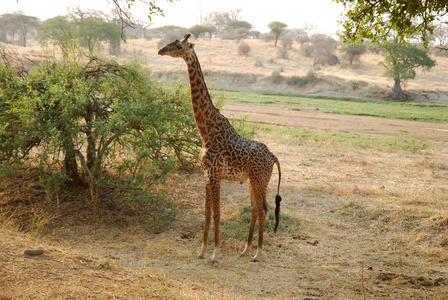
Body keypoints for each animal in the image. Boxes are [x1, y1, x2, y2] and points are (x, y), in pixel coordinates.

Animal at [159, 33, 282, 262]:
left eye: (178, 46)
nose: (161, 50)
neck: (207, 133)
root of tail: (273, 157)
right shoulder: (206, 175)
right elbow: (207, 212)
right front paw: (202, 251)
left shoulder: (216, 175)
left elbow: (217, 213)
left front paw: (215, 253)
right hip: (252, 180)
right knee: (255, 208)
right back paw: (245, 249)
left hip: (260, 180)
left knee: (263, 209)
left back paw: (257, 253)